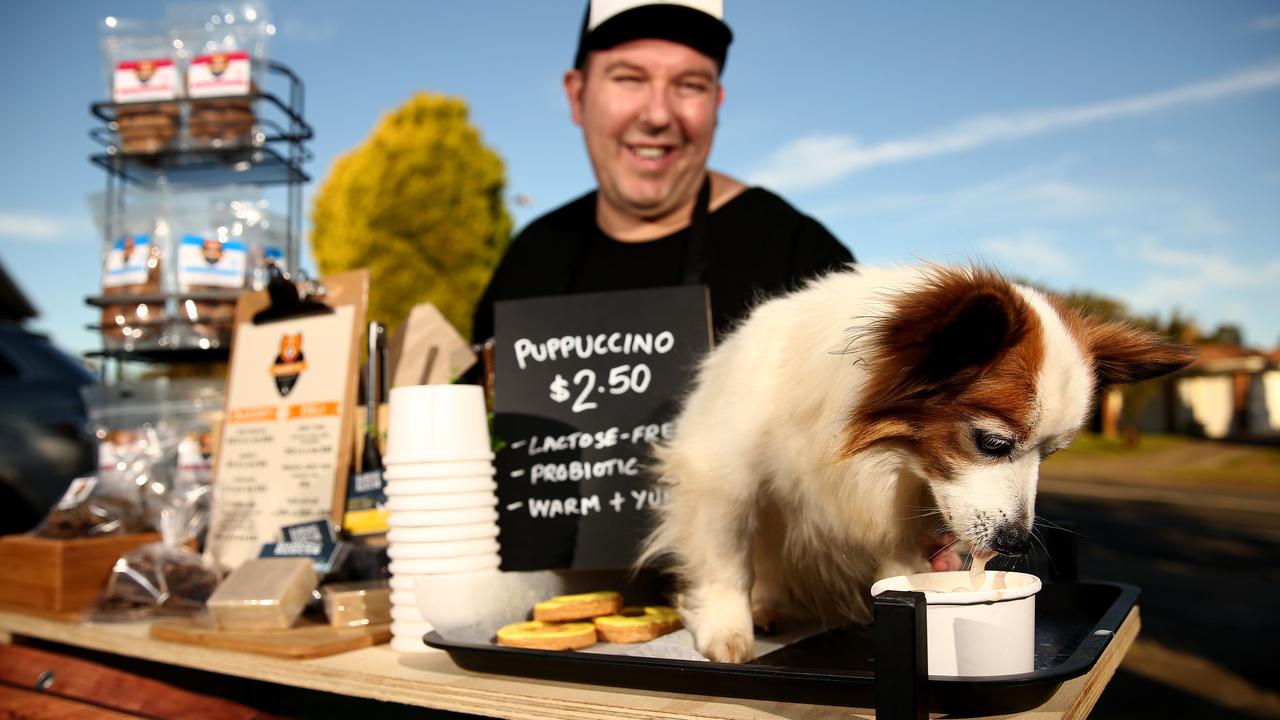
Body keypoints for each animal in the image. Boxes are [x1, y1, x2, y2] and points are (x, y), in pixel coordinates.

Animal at [645, 263, 1192, 661]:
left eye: (1051, 455)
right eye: (992, 443)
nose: (1016, 543)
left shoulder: (901, 517)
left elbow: (903, 567)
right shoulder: (724, 480)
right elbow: (726, 562)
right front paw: (726, 628)